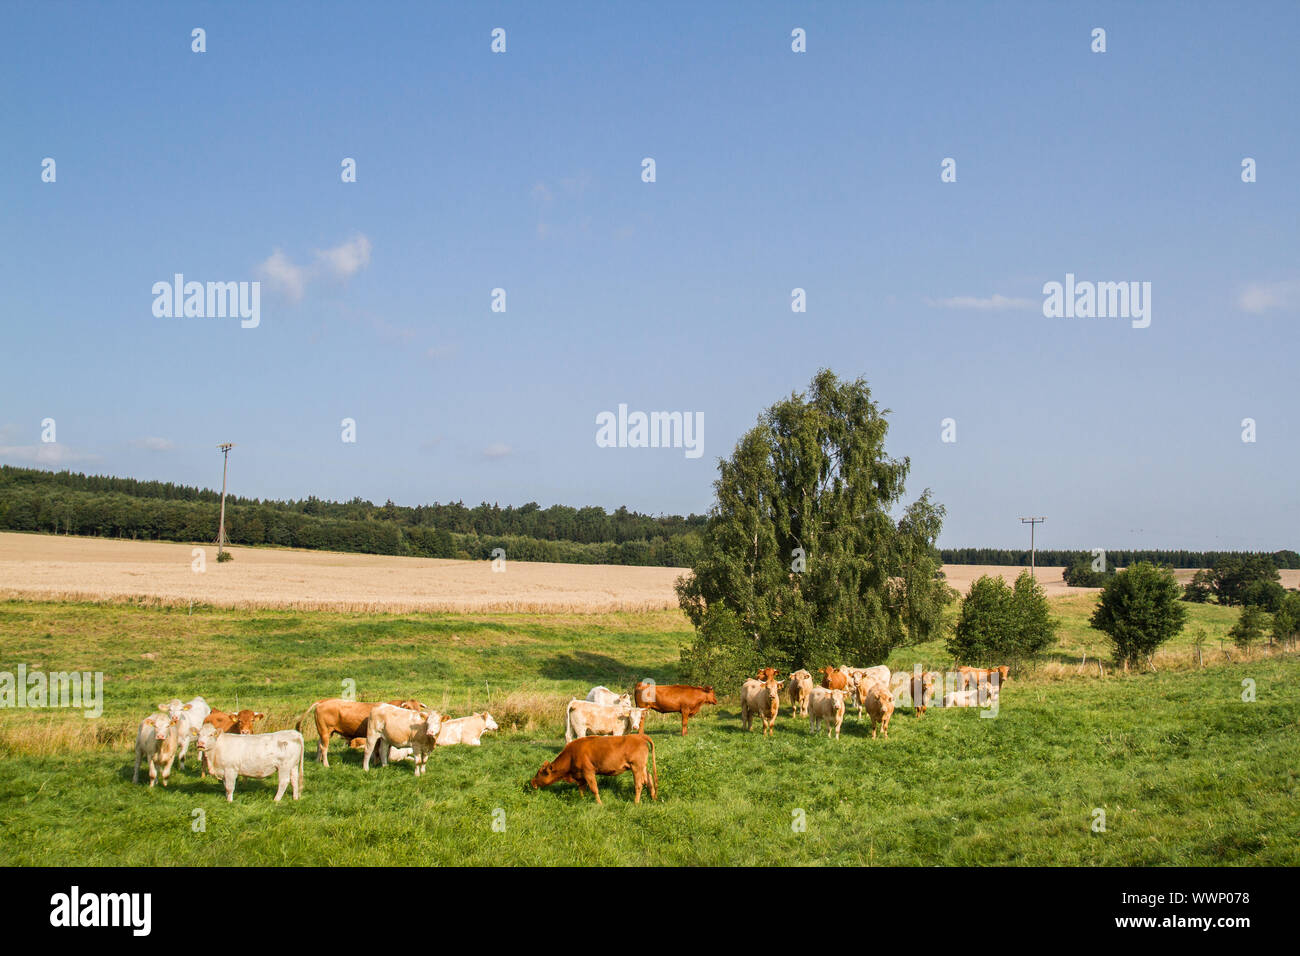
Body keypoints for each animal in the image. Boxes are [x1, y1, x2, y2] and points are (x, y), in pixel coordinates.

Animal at [292, 697, 423, 764]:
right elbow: (378, 751)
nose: (418, 716)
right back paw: (326, 764)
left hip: (325, 732)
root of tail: (323, 702)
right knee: (324, 748)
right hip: (325, 731)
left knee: (319, 745)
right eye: (409, 707)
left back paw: (317, 761)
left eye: (418, 707)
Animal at [527, 733, 655, 806]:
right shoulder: (581, 776)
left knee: (639, 784)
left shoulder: (588, 772)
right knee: (649, 780)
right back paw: (654, 798)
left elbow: (594, 789)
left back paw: (636, 802)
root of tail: (639, 736)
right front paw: (582, 800)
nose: (532, 782)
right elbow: (581, 789)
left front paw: (600, 804)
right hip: (642, 767)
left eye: (540, 773)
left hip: (636, 767)